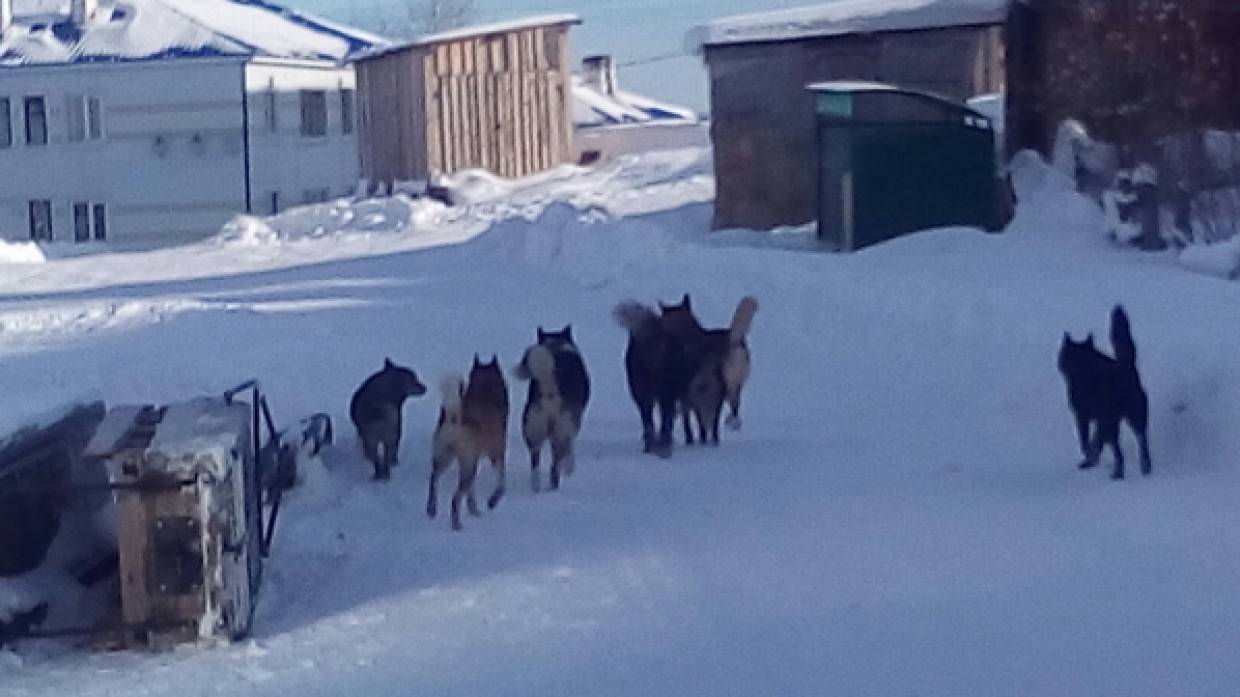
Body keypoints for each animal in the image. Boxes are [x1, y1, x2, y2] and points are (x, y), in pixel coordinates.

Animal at [424, 354, 505, 528]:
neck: (485, 390)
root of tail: (454, 418)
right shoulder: (496, 454)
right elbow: (501, 482)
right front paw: (493, 501)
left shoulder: (474, 460)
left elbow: (471, 492)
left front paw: (473, 509)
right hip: (467, 466)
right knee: (455, 498)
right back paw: (456, 524)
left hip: (444, 457)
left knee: (434, 480)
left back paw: (431, 509)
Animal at [1056, 305, 1150, 476]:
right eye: (1070, 356)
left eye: (1080, 359)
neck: (1085, 380)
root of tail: (1127, 366)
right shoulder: (1082, 417)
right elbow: (1085, 440)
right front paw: (1089, 457)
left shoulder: (1099, 418)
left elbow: (1092, 441)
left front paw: (1092, 455)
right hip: (1116, 422)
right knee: (1116, 448)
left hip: (1133, 416)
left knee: (1139, 441)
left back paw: (1134, 468)